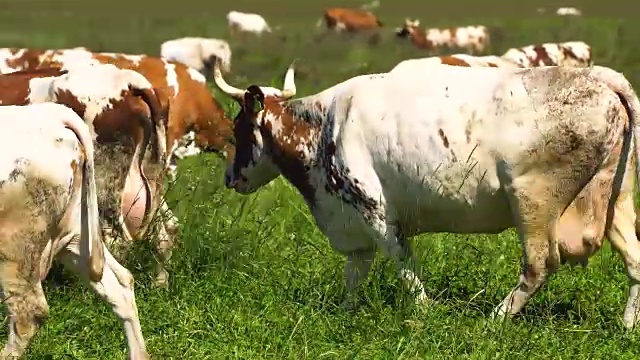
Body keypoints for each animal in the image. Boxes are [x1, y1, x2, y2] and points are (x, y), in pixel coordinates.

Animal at [0, 64, 172, 288]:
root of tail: (126, 79)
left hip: (104, 187)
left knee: (115, 245)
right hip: (149, 182)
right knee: (163, 238)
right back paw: (160, 285)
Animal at [211, 58, 640, 330]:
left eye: (238, 127)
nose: (230, 177)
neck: (324, 126)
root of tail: (599, 77)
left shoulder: (375, 210)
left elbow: (403, 265)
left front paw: (424, 312)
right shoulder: (351, 220)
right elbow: (355, 272)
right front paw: (344, 311)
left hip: (532, 200)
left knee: (539, 264)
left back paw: (494, 320)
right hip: (616, 199)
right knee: (634, 259)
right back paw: (627, 325)